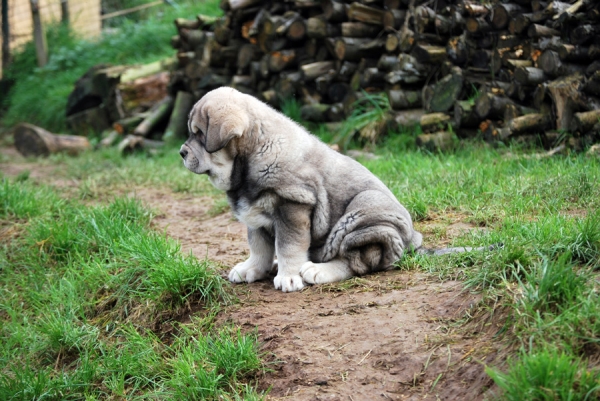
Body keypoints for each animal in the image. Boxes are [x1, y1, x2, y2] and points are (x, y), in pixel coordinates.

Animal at [179, 86, 454, 290]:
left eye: (199, 134)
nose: (181, 152)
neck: (251, 155)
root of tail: (413, 242)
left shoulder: (292, 206)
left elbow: (289, 246)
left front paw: (288, 277)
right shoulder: (255, 216)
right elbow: (259, 246)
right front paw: (252, 268)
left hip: (364, 216)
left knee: (355, 262)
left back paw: (317, 270)